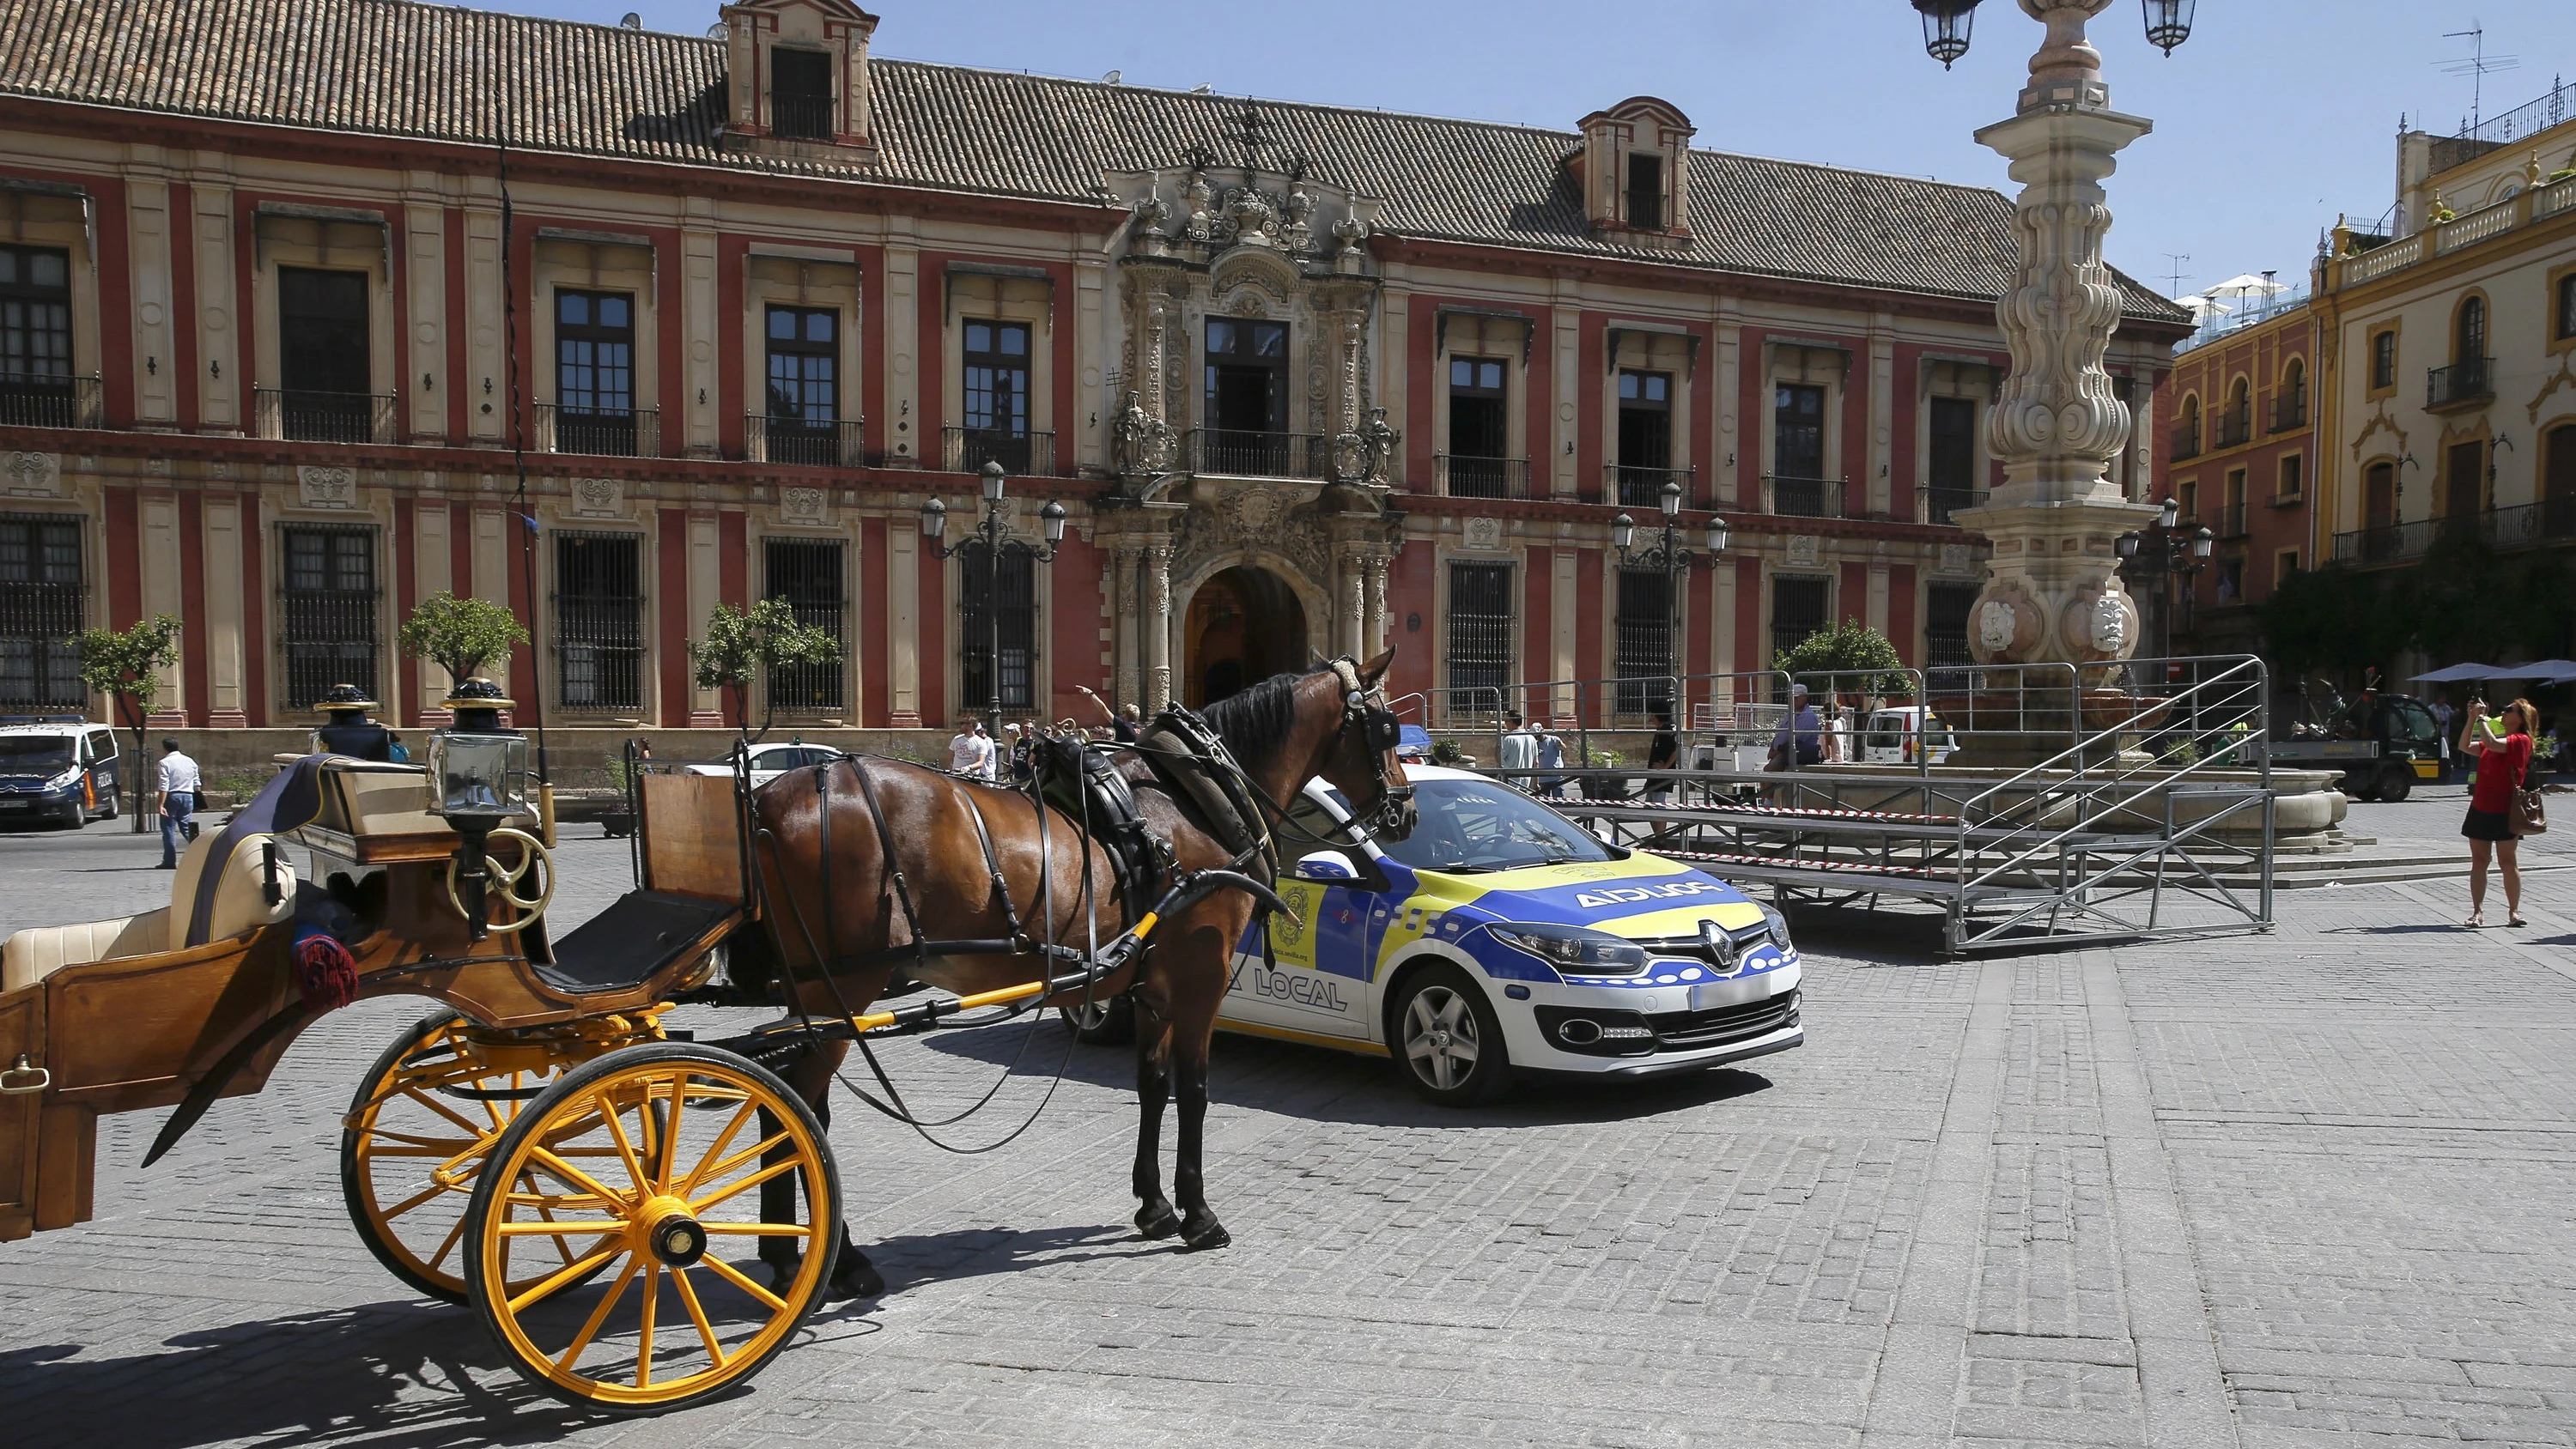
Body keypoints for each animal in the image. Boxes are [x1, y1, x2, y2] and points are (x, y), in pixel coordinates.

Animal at [737, 651, 1422, 1297]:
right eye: (1386, 729)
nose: (1404, 811)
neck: (1194, 798)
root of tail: (767, 798)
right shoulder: (1200, 976)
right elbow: (1195, 1092)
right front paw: (1198, 1213)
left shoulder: (1151, 985)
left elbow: (1152, 1086)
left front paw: (1154, 1205)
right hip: (842, 989)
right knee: (800, 1110)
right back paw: (835, 1260)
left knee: (780, 1103)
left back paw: (787, 1254)